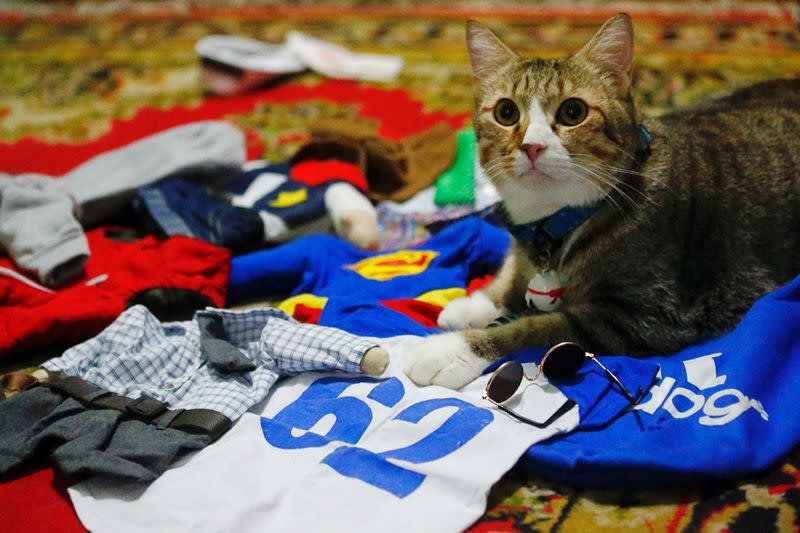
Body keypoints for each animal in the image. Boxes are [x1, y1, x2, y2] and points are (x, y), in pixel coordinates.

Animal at [400, 12, 800, 386]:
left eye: (572, 111)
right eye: (506, 111)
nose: (532, 146)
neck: (556, 221)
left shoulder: (645, 316)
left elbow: (537, 327)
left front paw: (454, 348)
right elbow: (512, 273)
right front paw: (478, 301)